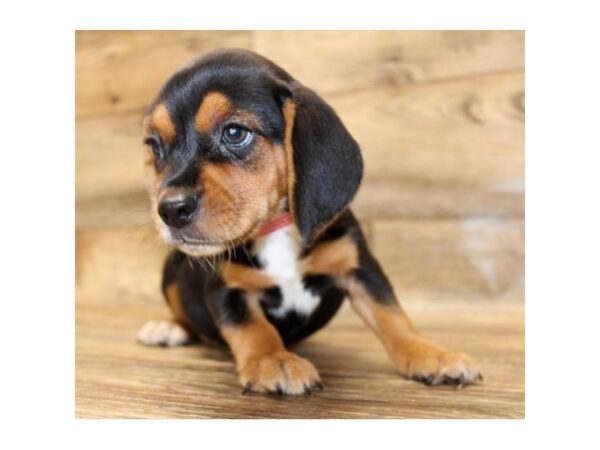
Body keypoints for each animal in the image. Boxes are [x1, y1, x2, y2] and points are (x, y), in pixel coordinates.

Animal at [137, 47, 482, 396]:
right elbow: (253, 328)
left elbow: (392, 315)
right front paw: (274, 360)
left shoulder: (360, 266)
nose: (170, 210)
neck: (275, 230)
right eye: (155, 146)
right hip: (170, 272)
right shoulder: (226, 286)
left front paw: (431, 354)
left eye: (234, 133)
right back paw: (168, 327)